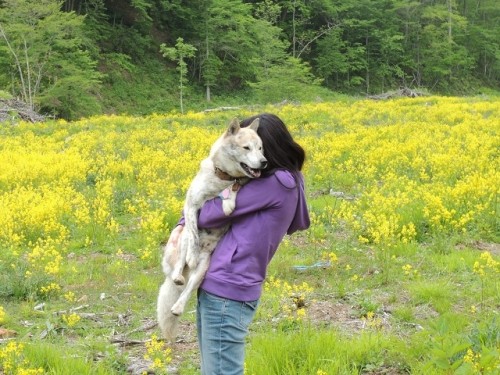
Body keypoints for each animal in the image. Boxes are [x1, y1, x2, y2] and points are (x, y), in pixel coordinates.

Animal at [156, 118, 268, 344]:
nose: (264, 162)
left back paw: (178, 307)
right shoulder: (191, 205)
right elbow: (192, 229)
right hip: (182, 243)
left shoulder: (236, 185)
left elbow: (234, 191)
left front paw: (228, 203)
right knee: (180, 265)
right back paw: (180, 273)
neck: (223, 179)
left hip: (203, 269)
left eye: (260, 148)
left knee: (188, 289)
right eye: (246, 148)